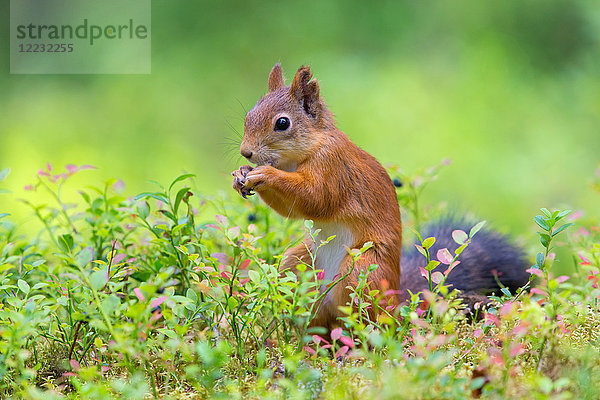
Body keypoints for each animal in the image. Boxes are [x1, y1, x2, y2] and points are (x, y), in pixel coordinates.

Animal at [232, 64, 528, 330]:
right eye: (248, 114)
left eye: (282, 123)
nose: (246, 152)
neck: (304, 152)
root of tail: (396, 305)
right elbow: (291, 210)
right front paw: (241, 174)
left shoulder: (333, 168)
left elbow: (315, 199)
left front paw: (265, 174)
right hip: (298, 264)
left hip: (362, 270)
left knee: (367, 321)